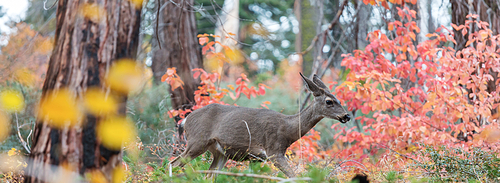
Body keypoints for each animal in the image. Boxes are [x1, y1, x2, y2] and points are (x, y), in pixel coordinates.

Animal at [170, 72, 350, 179]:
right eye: (329, 101)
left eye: (339, 99)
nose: (346, 116)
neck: (287, 130)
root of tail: (185, 120)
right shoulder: (273, 151)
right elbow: (294, 176)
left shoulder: (257, 158)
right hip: (197, 141)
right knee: (173, 163)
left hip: (219, 152)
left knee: (209, 175)